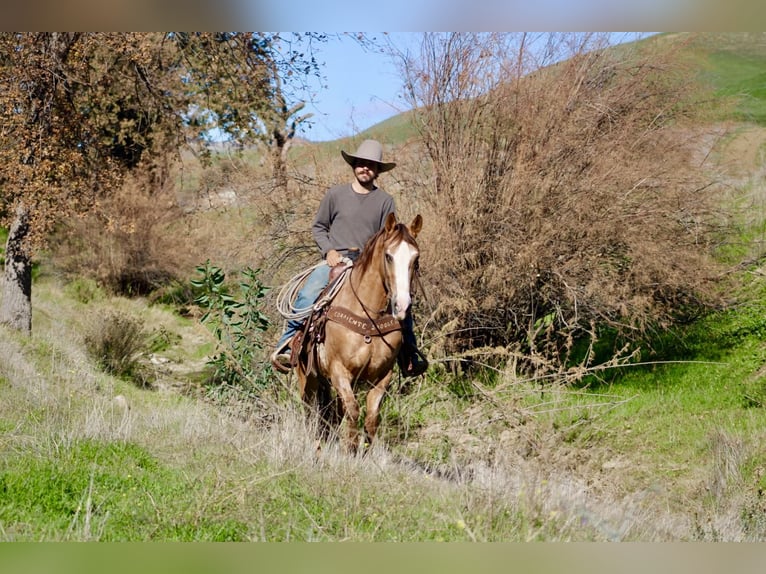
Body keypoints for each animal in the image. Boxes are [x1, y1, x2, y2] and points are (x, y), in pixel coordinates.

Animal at [295, 212, 423, 454]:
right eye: (388, 256)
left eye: (415, 258)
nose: (402, 306)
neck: (368, 316)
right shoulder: (338, 371)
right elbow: (353, 411)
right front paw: (350, 450)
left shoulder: (382, 376)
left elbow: (371, 418)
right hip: (307, 375)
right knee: (310, 408)